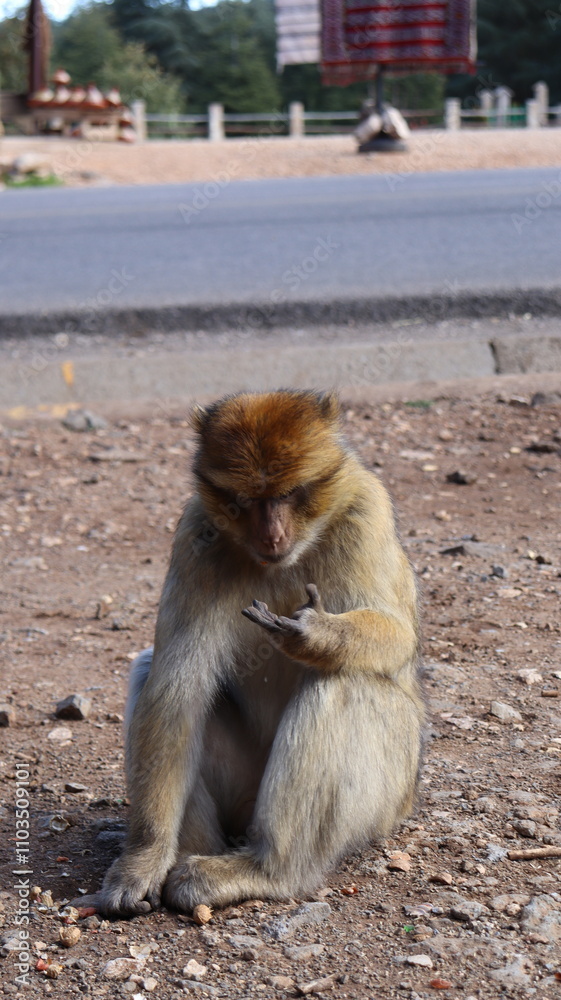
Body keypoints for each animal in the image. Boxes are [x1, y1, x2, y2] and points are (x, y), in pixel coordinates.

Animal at [96, 389, 424, 916]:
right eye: (247, 501)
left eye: (289, 494)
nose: (272, 536)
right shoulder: (197, 534)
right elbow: (174, 688)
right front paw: (143, 857)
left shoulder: (365, 510)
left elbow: (398, 637)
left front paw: (314, 635)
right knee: (152, 675)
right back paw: (190, 854)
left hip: (389, 798)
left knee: (342, 683)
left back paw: (268, 870)